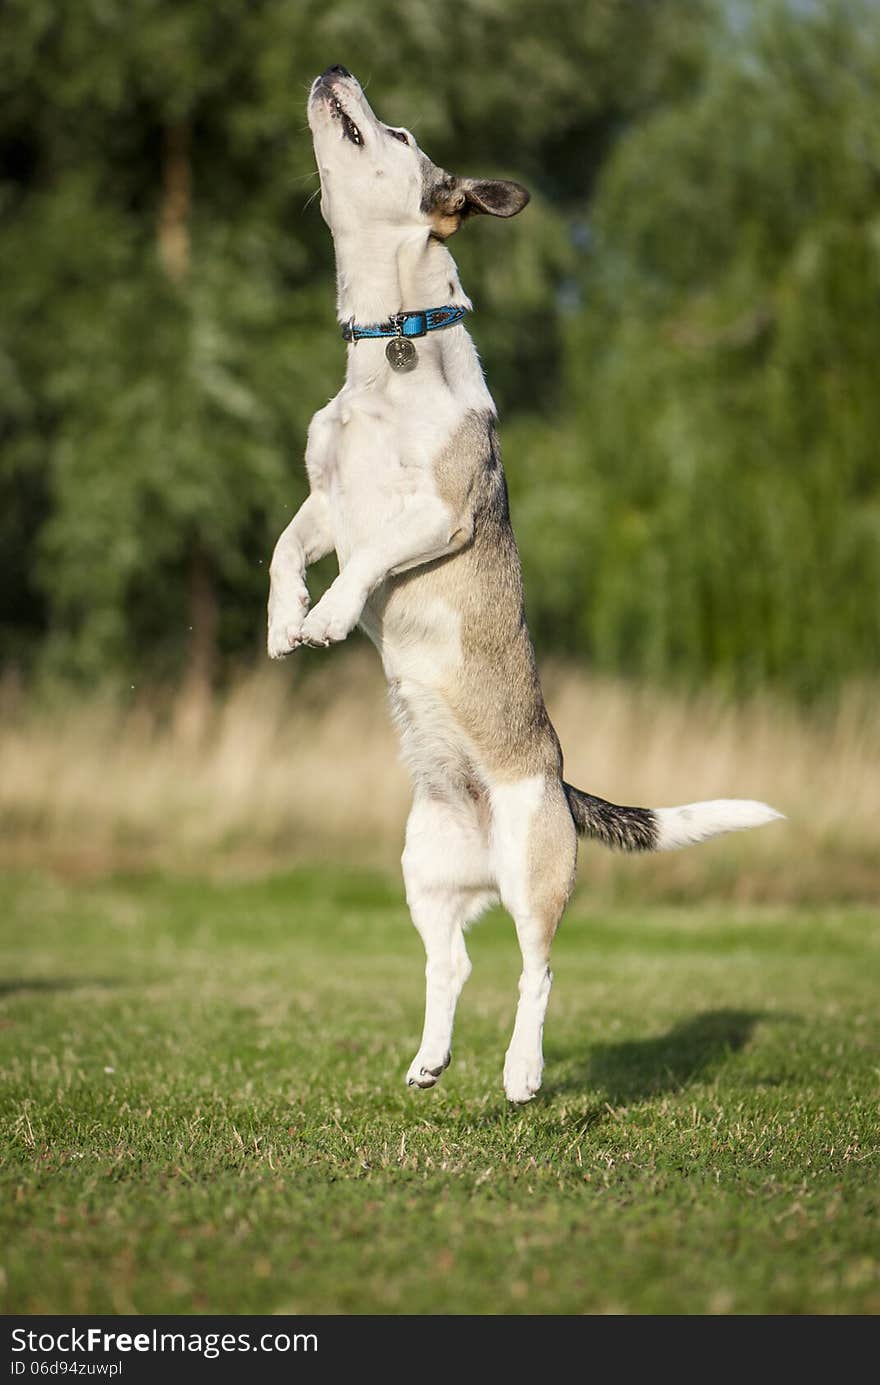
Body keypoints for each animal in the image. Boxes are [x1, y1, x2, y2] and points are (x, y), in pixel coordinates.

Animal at [264, 67, 781, 1102]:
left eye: (398, 130)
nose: (334, 71)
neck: (391, 344)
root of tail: (552, 786)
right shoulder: (325, 500)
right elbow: (283, 550)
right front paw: (284, 620)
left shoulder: (436, 509)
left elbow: (368, 561)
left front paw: (332, 614)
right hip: (424, 871)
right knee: (452, 962)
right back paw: (430, 1057)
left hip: (538, 870)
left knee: (537, 967)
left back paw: (524, 1070)